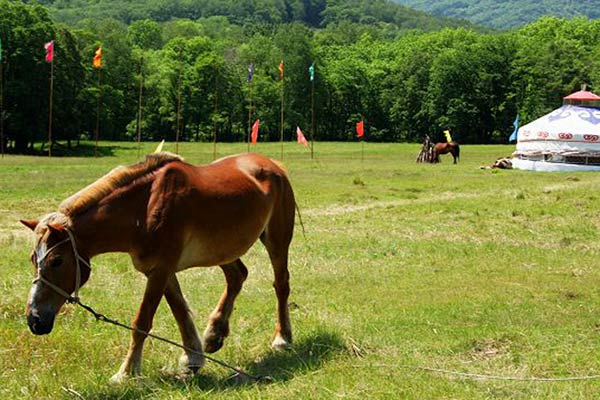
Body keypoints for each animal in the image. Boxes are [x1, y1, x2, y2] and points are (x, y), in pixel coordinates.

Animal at [19, 152, 296, 382]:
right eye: (33, 259)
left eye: (57, 261)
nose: (35, 319)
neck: (142, 209)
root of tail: (274, 165)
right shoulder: (161, 270)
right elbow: (180, 312)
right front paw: (192, 358)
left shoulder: (161, 270)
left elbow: (142, 321)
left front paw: (126, 372)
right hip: (223, 249)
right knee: (237, 276)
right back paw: (214, 334)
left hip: (276, 240)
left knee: (281, 284)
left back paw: (282, 338)